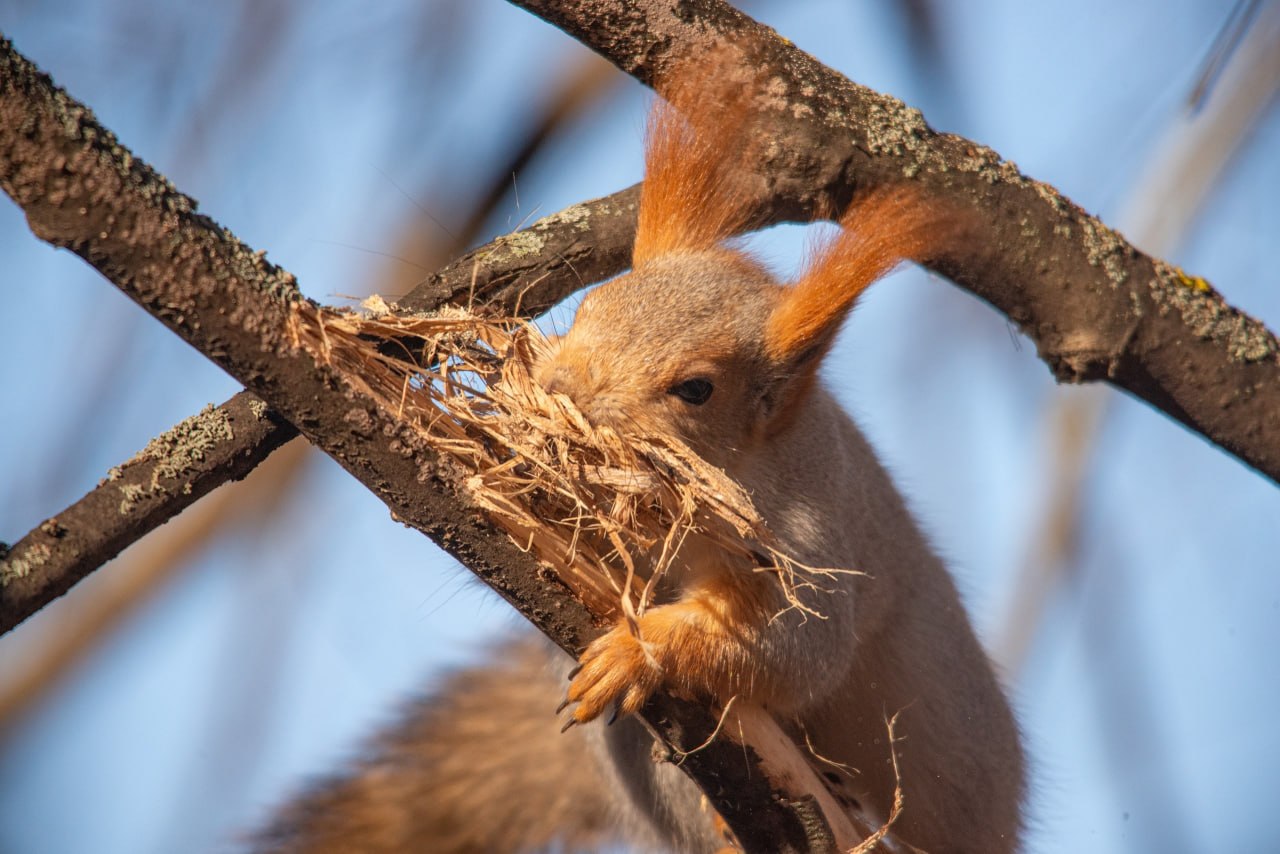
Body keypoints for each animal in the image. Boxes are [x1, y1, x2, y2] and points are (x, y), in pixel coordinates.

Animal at [252, 51, 1024, 854]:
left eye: (696, 389)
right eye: (589, 306)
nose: (558, 389)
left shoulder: (809, 543)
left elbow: (794, 646)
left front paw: (641, 650)